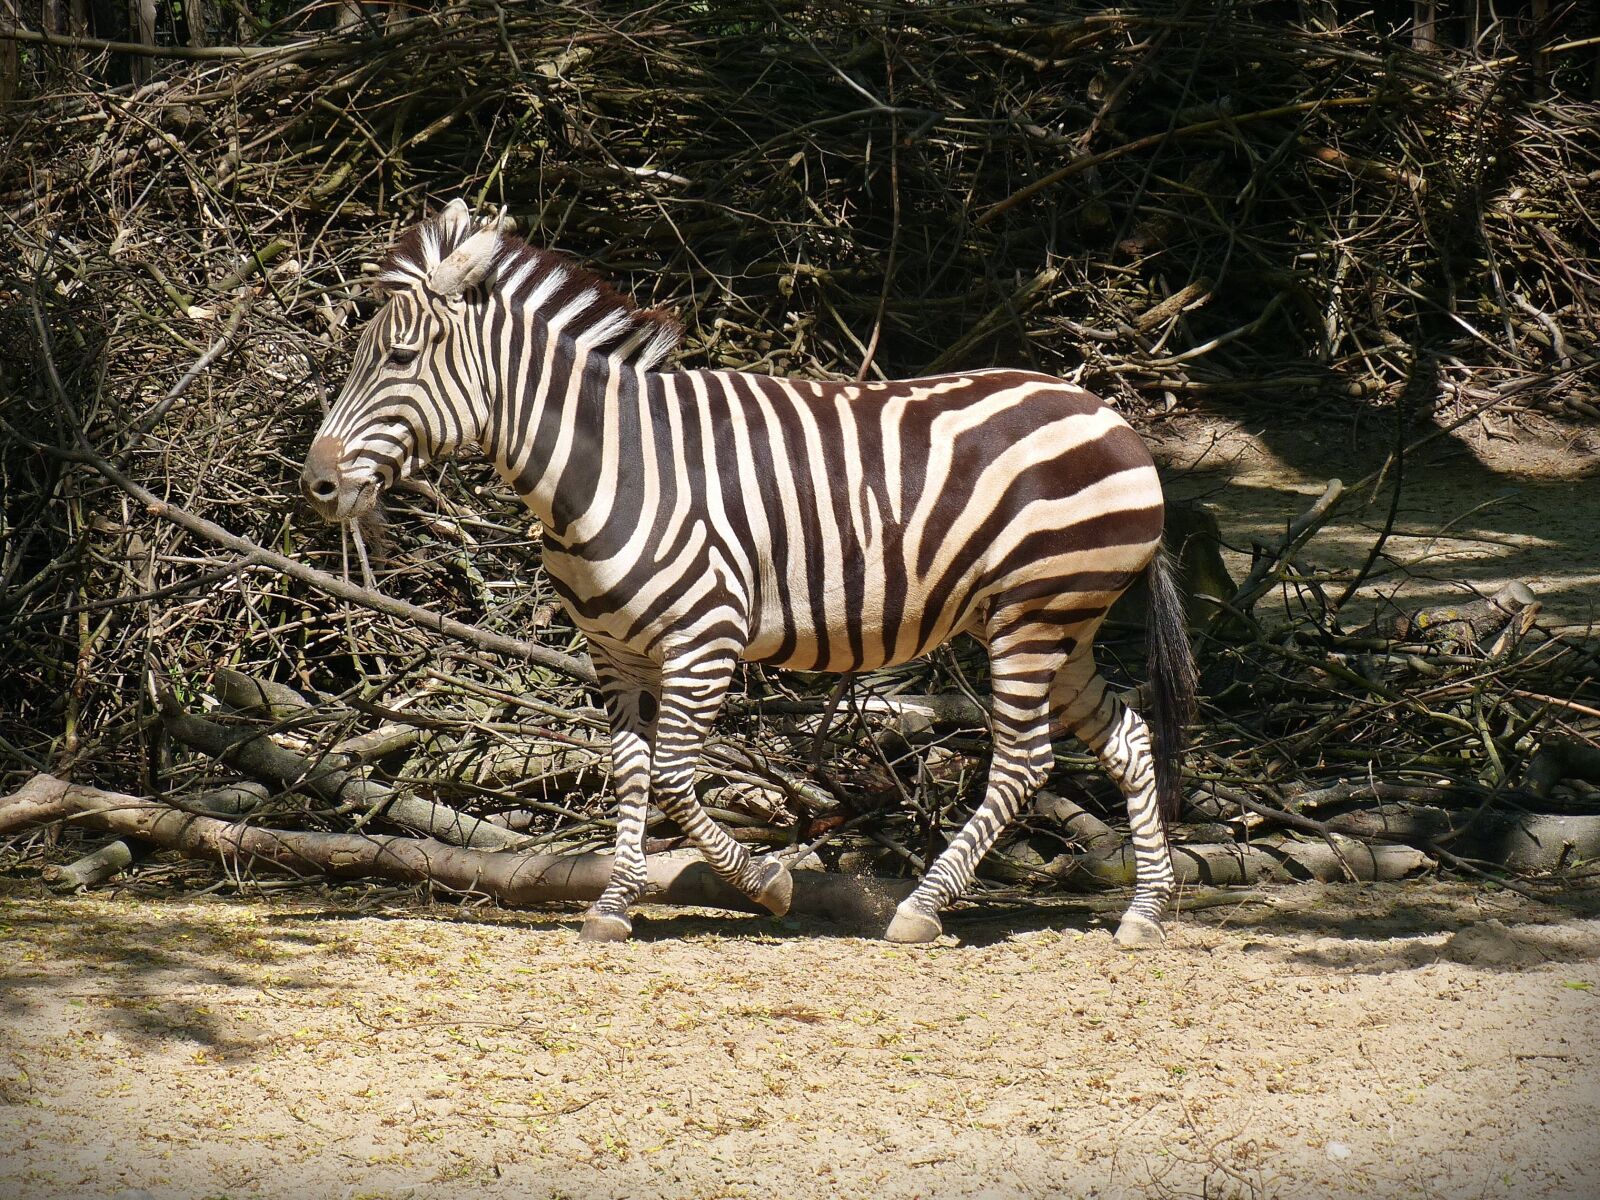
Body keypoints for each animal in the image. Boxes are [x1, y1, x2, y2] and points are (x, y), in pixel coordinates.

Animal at [302, 200, 1196, 947]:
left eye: (400, 357)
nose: (316, 485)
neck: (606, 467)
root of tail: (1112, 418)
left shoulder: (705, 642)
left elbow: (672, 778)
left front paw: (766, 883)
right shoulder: (614, 653)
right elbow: (632, 773)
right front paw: (613, 907)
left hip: (1032, 612)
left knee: (1023, 762)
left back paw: (920, 908)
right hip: (1060, 623)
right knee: (1127, 738)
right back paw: (1144, 913)